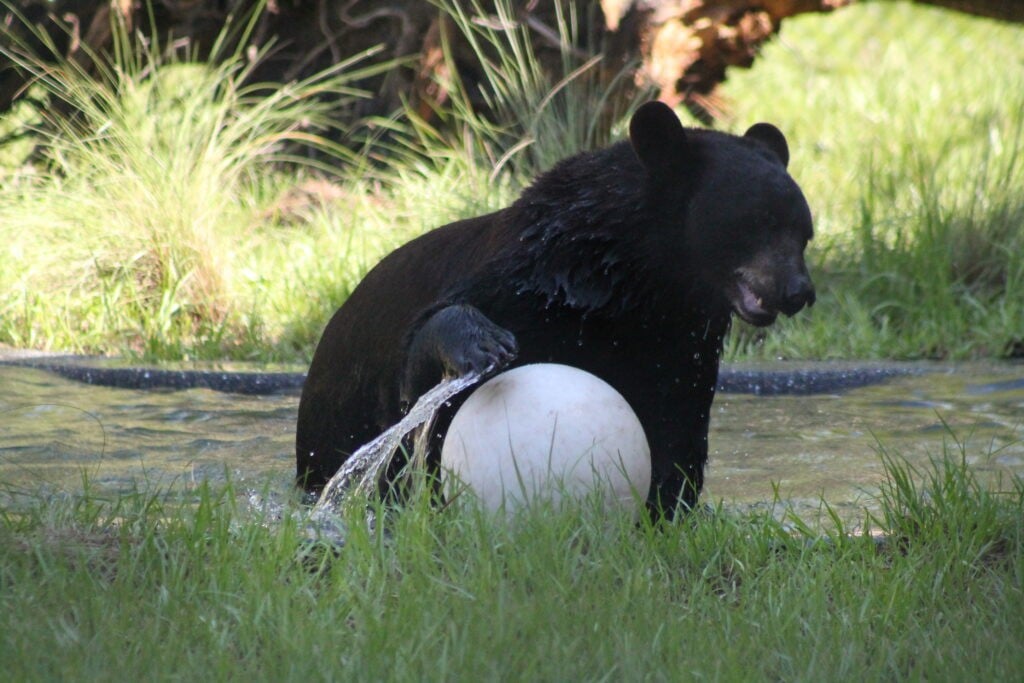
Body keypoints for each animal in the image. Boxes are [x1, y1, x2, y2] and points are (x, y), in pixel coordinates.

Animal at [296, 101, 815, 518]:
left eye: (804, 232)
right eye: (759, 221)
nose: (799, 291)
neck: (633, 282)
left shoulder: (680, 342)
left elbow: (677, 427)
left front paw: (664, 512)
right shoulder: (520, 280)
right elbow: (418, 375)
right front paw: (483, 344)